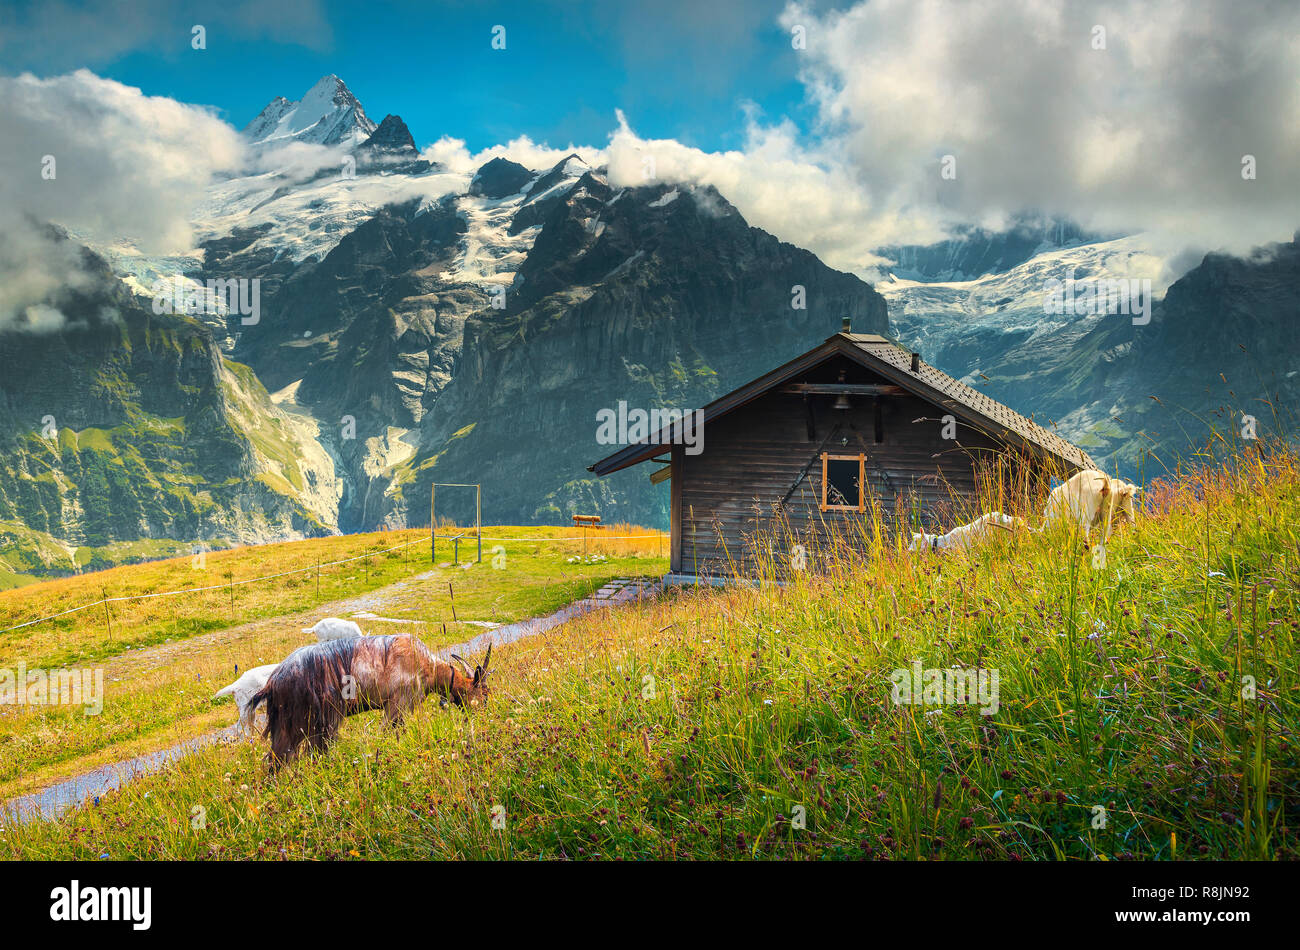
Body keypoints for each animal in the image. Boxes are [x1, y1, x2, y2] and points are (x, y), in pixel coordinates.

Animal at [249, 634, 491, 769]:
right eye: (484, 695)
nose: (485, 717)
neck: (426, 665)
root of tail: (274, 681)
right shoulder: (398, 703)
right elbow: (388, 732)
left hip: (288, 725)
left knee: (277, 759)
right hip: (314, 720)